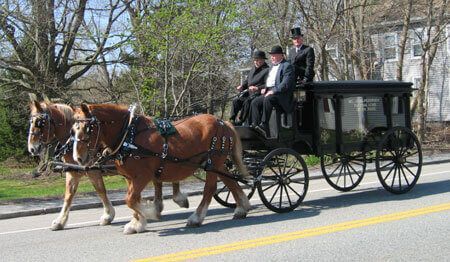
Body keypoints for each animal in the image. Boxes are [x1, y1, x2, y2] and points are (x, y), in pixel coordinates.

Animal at [27, 96, 188, 229]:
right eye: (31, 122)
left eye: (40, 123)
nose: (32, 148)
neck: (71, 140)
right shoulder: (76, 171)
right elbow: (70, 194)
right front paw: (60, 221)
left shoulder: (92, 169)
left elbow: (99, 190)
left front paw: (109, 215)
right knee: (159, 181)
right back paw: (158, 206)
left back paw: (175, 199)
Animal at [72, 103, 251, 234]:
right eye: (73, 129)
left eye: (87, 128)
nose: (78, 158)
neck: (128, 135)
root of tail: (223, 122)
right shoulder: (130, 178)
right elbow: (133, 199)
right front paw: (137, 223)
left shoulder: (142, 176)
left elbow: (130, 199)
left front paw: (149, 214)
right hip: (218, 164)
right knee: (230, 182)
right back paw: (241, 208)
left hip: (212, 163)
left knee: (210, 188)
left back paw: (196, 218)